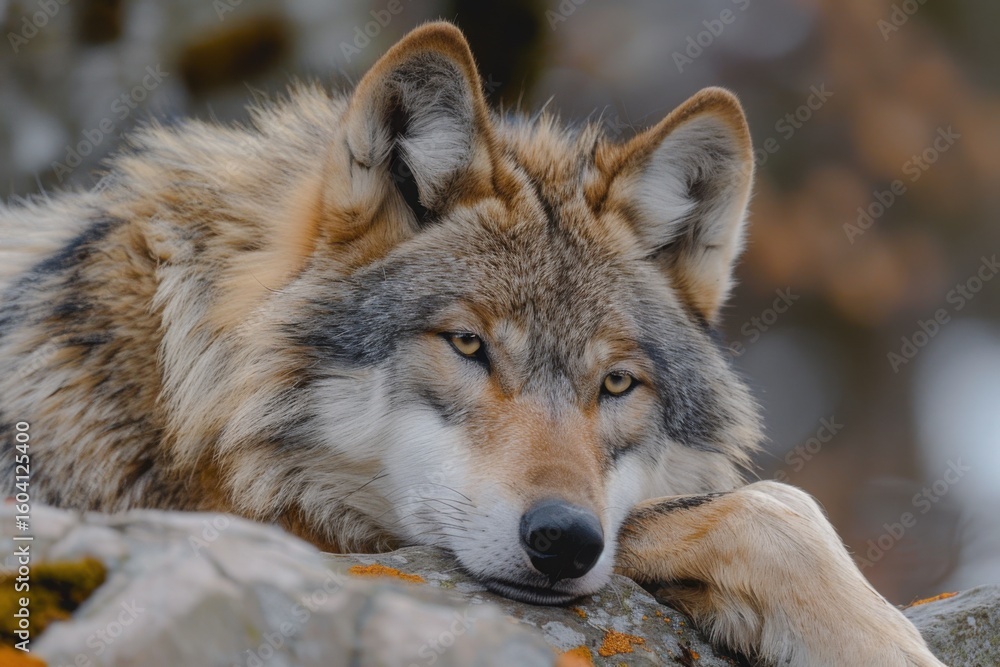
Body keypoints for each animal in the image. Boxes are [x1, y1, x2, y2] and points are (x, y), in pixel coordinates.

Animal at [0, 22, 944, 666]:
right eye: (466, 344)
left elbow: (771, 502)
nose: (564, 540)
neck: (165, 394)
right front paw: (885, 642)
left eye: (618, 384)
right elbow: (769, 505)